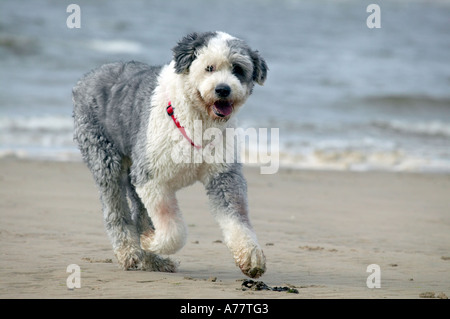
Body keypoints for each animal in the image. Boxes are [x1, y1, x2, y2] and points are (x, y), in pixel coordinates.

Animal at [71, 31, 268, 278]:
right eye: (209, 67)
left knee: (139, 214)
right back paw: (130, 253)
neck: (197, 119)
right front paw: (149, 241)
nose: (223, 89)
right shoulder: (151, 178)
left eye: (238, 69)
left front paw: (251, 257)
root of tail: (88, 76)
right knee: (115, 209)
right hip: (105, 158)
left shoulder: (223, 176)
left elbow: (237, 218)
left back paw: (154, 261)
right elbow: (174, 230)